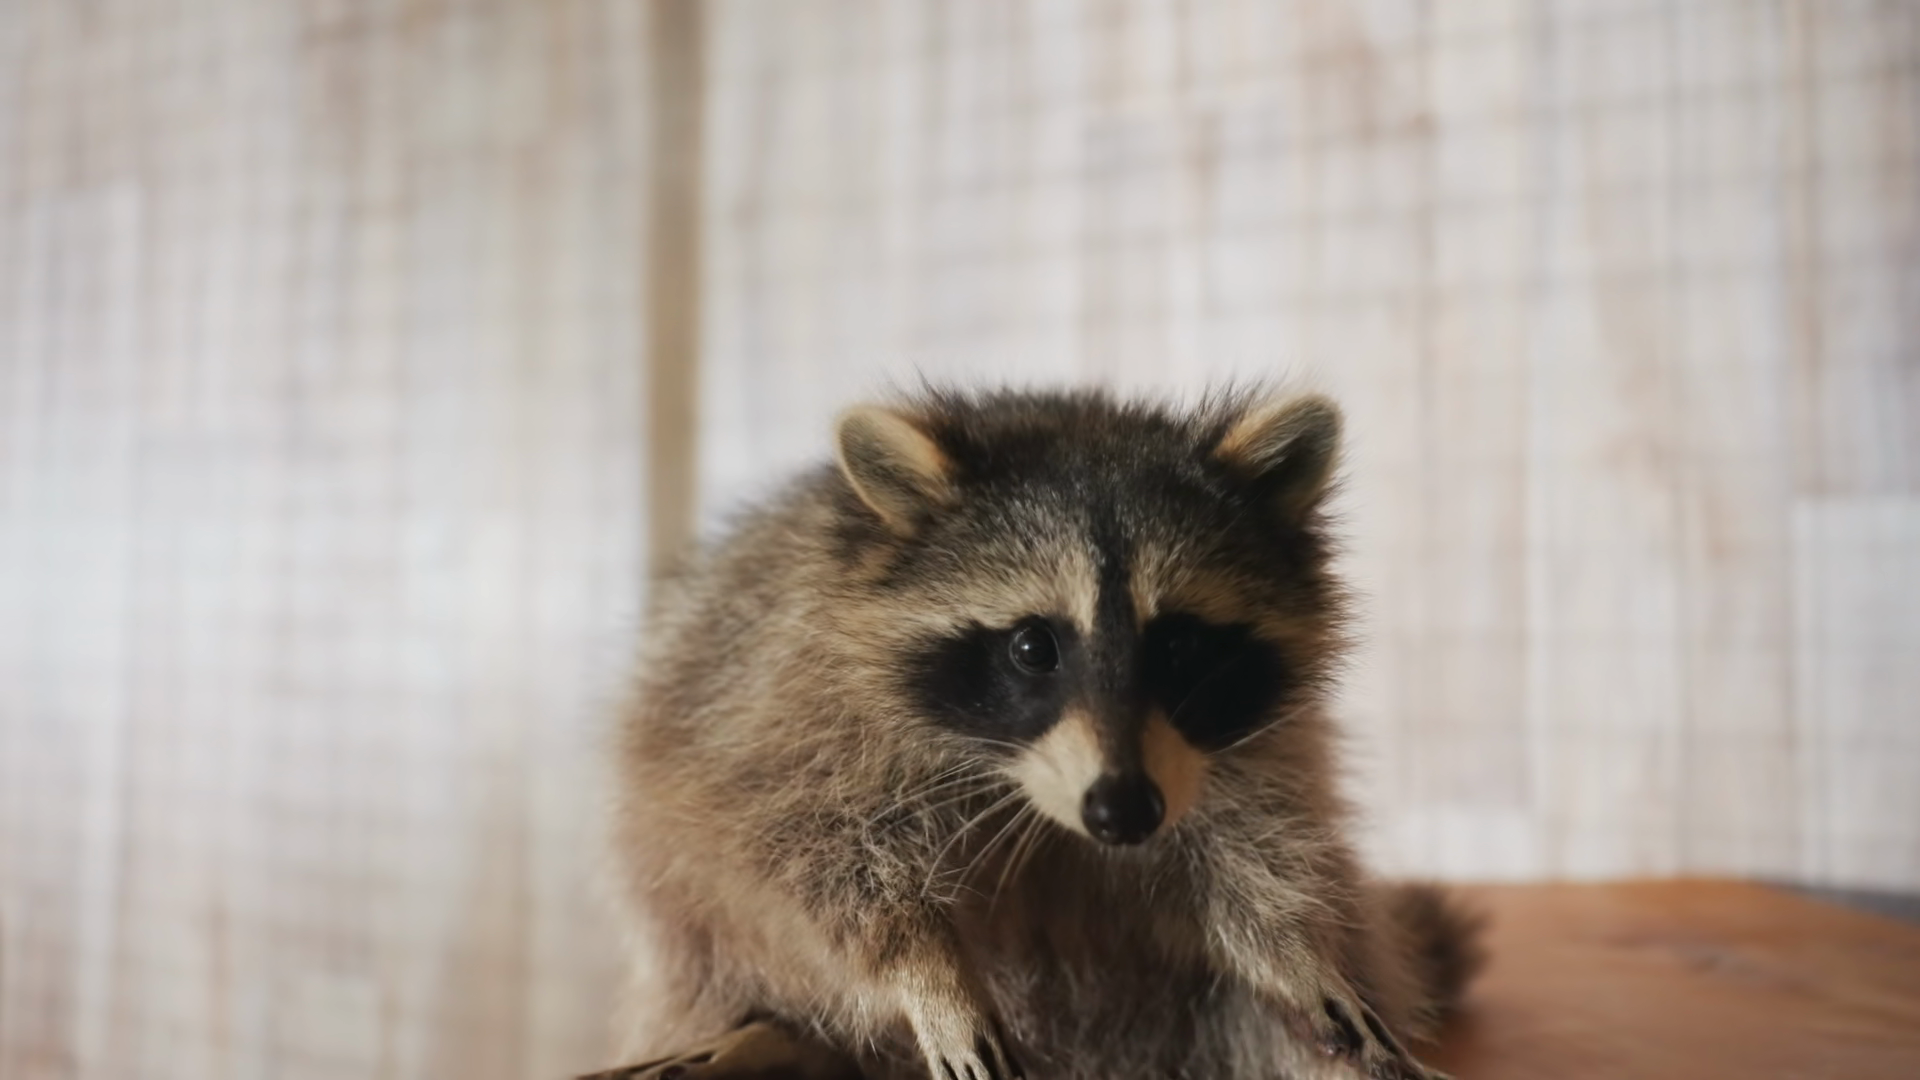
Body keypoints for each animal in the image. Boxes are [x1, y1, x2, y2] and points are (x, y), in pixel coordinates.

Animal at [593, 388, 1481, 1080]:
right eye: (1032, 647)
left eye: (1179, 647)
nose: (1123, 812)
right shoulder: (774, 713)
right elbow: (808, 858)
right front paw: (929, 973)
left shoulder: (1248, 751)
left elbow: (1258, 850)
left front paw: (1295, 950)